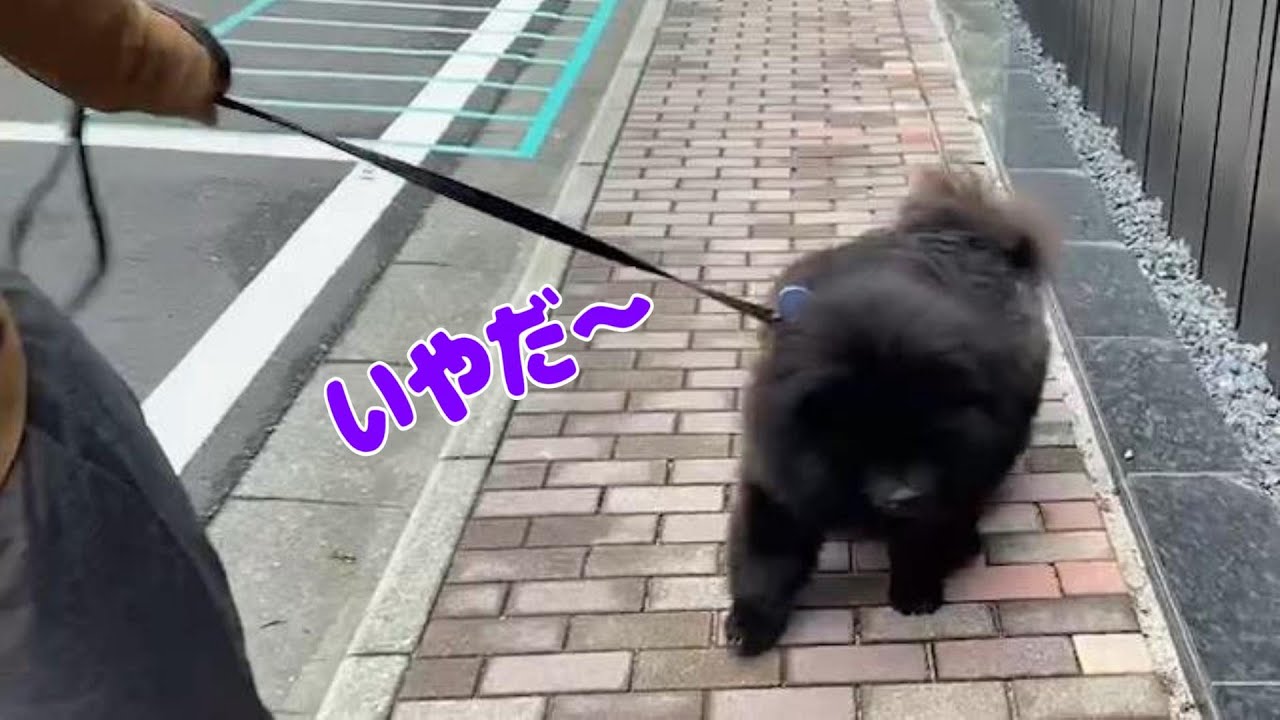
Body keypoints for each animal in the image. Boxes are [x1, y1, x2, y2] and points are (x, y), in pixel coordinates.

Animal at [725, 166, 1057, 657]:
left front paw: (915, 591)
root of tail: (975, 235)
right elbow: (766, 557)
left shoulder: (950, 471)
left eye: (925, 435)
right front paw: (750, 623)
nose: (904, 496)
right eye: (858, 442)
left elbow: (924, 535)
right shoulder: (779, 481)